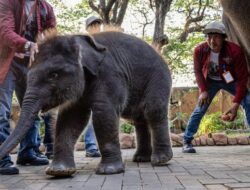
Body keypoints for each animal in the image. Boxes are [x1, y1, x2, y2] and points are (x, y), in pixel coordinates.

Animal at [0, 30, 172, 177]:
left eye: (54, 75)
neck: (78, 41)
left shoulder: (109, 74)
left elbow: (104, 113)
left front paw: (109, 171)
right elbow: (70, 118)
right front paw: (58, 171)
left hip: (158, 78)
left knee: (153, 111)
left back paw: (160, 160)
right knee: (139, 118)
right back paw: (141, 159)